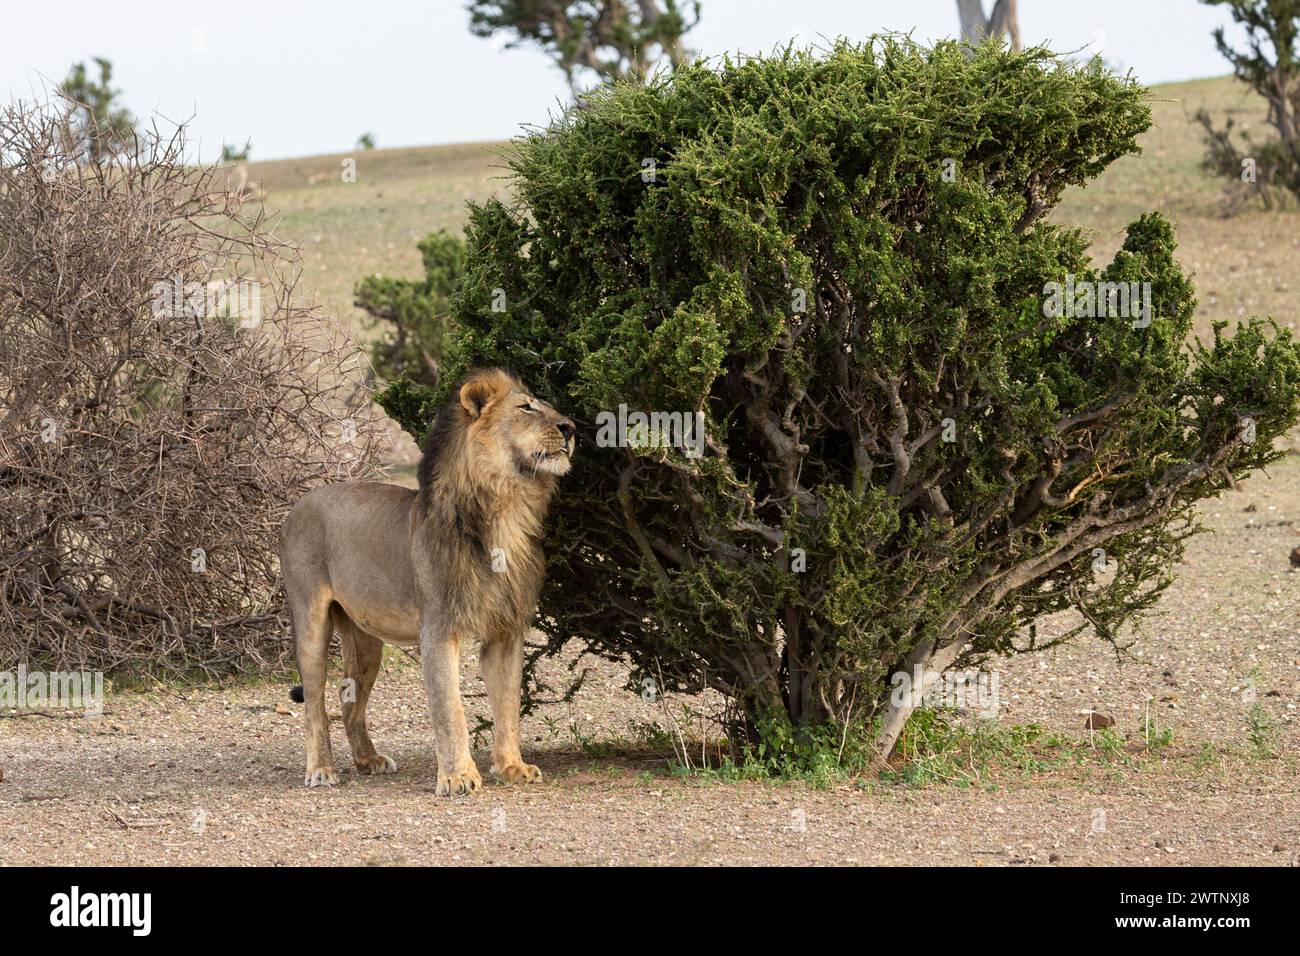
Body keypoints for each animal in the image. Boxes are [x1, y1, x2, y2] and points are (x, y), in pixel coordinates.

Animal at [279, 368, 575, 795]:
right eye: (526, 408)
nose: (571, 427)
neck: (507, 508)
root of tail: (296, 506)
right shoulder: (438, 627)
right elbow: (450, 709)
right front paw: (458, 777)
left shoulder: (506, 629)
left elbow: (508, 704)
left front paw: (512, 767)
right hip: (310, 620)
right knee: (316, 702)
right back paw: (321, 769)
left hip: (365, 639)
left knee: (347, 696)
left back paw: (368, 760)